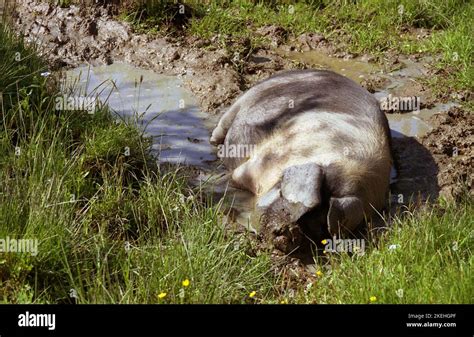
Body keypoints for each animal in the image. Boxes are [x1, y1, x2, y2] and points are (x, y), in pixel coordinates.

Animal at [212, 69, 392, 249]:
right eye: (282, 195)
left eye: (318, 224)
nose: (288, 231)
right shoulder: (256, 163)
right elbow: (235, 177)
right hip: (250, 95)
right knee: (225, 122)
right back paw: (215, 141)